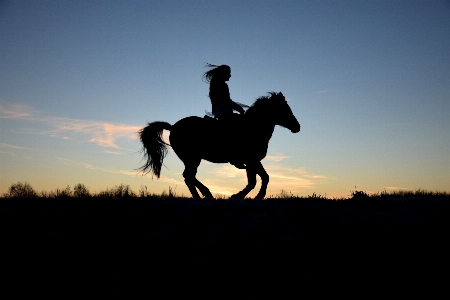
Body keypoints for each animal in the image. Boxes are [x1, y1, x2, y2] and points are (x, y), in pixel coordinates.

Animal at [137, 91, 298, 199]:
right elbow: (255, 180)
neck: (252, 128)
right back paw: (205, 195)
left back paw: (204, 195)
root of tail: (173, 127)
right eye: (284, 109)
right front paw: (240, 196)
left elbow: (263, 178)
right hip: (192, 158)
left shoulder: (253, 161)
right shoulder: (251, 160)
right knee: (188, 176)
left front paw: (252, 196)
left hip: (191, 159)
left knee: (189, 177)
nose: (297, 127)